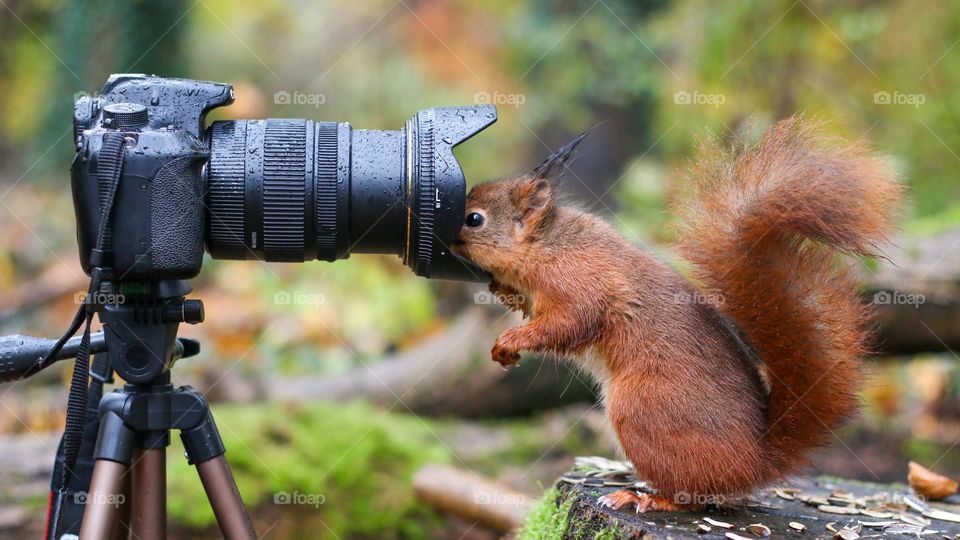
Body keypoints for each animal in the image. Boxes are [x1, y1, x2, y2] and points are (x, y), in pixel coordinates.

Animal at [450, 117, 900, 510]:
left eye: (474, 219)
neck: (547, 245)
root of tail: (754, 463)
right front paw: (504, 294)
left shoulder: (580, 284)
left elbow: (570, 323)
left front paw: (511, 340)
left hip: (642, 411)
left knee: (690, 494)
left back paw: (645, 498)